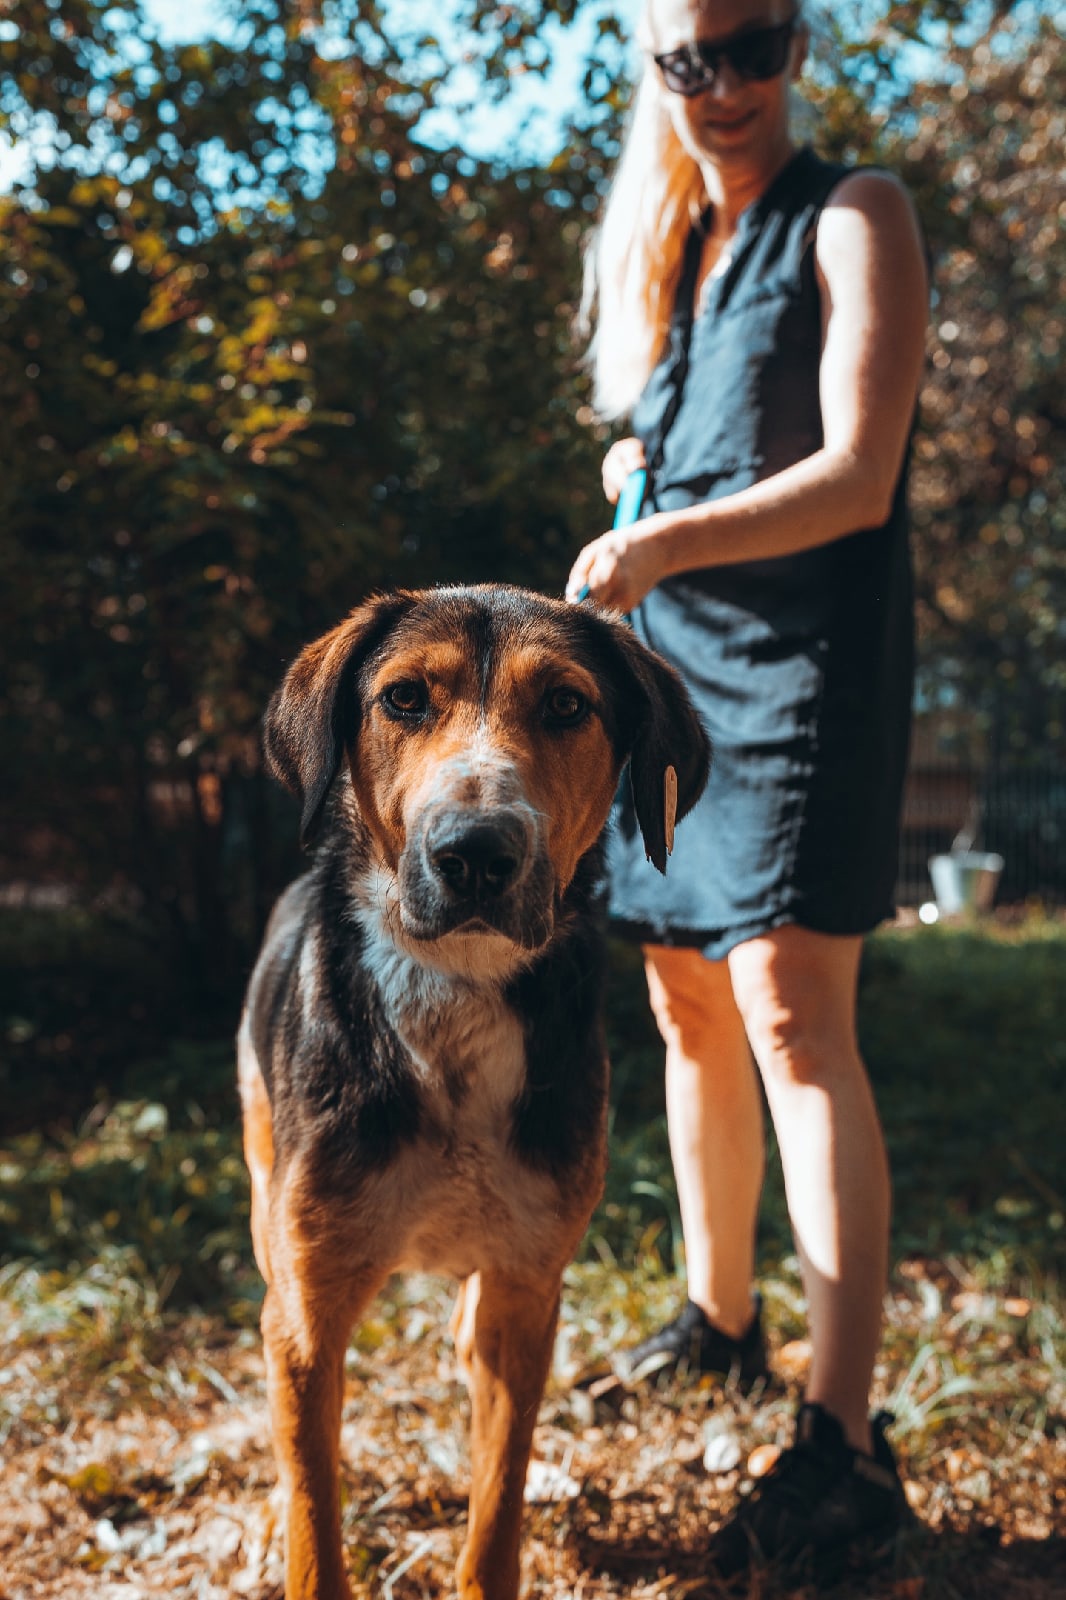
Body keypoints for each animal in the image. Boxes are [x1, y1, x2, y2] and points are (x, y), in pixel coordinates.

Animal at [238, 588, 704, 1600]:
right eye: (404, 698)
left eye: (568, 705)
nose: (477, 854)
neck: (456, 984)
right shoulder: (307, 1318)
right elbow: (313, 1512)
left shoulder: (527, 1290)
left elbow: (498, 1494)